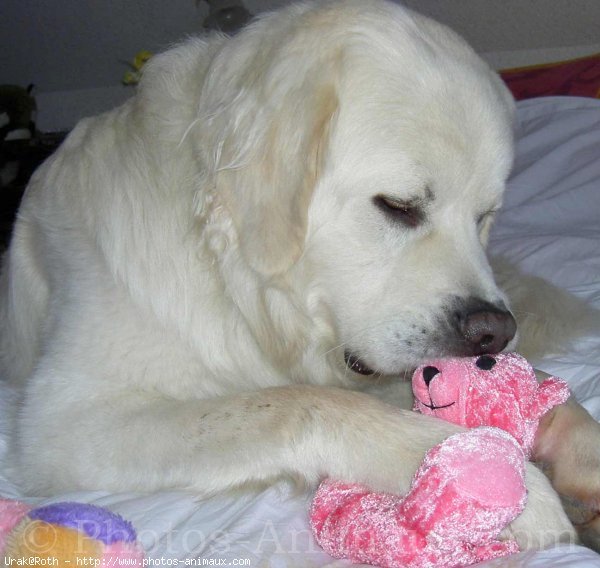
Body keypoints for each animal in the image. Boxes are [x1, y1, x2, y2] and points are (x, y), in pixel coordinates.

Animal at [1, 0, 600, 552]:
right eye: (399, 207)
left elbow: (537, 379)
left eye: (484, 217)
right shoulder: (69, 420)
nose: (494, 332)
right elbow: (299, 403)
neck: (236, 289)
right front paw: (507, 482)